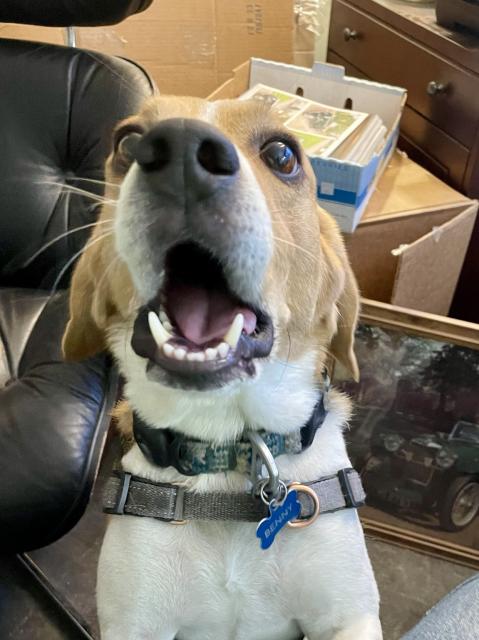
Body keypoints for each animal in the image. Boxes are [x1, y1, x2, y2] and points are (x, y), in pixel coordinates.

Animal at [62, 95, 382, 640]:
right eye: (126, 142)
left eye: (282, 154)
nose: (181, 151)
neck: (228, 453)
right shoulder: (135, 623)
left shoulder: (349, 616)